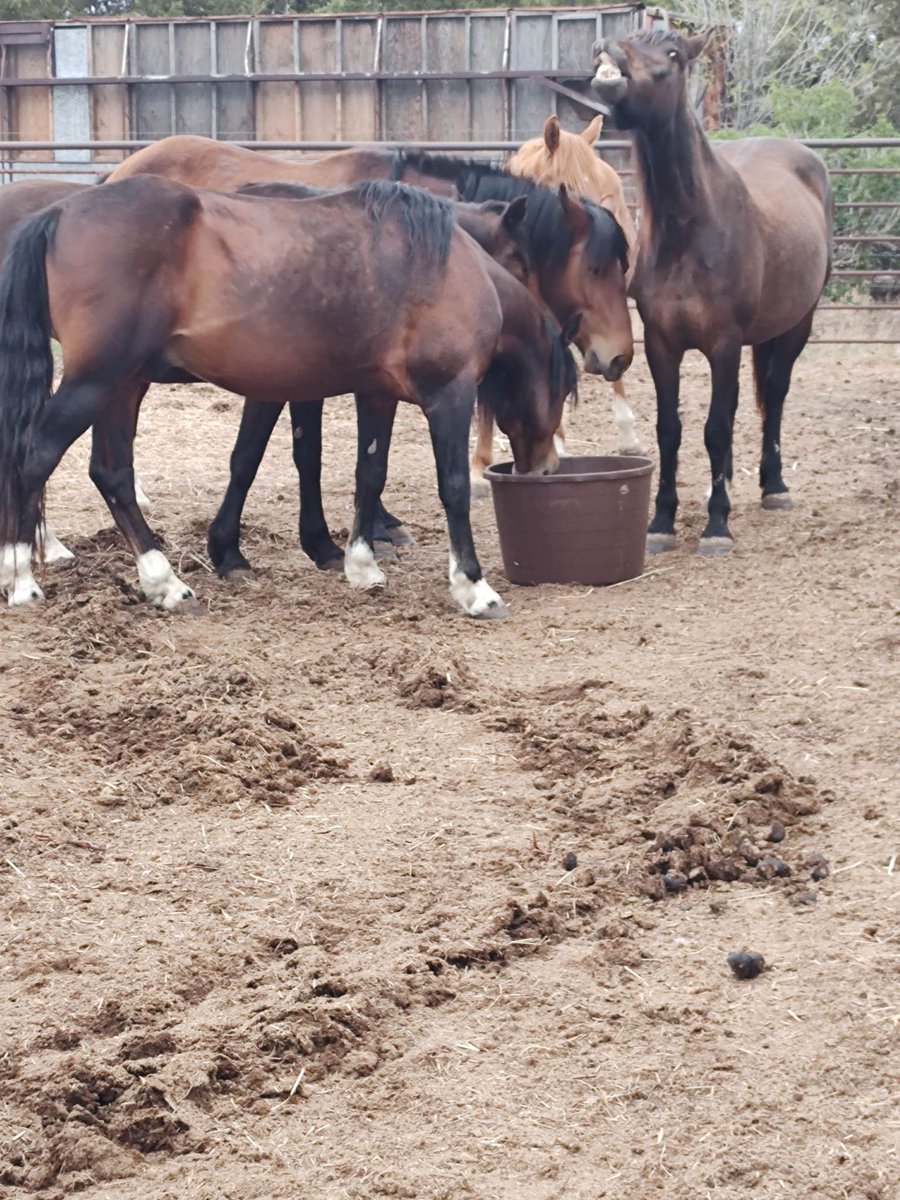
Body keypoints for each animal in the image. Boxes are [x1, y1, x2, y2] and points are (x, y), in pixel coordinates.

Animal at [0, 178, 575, 616]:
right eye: (564, 393)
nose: (548, 470)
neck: (450, 268)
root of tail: (58, 214)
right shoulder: (448, 396)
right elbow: (453, 487)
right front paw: (472, 587)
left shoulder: (375, 395)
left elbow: (370, 473)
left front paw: (361, 564)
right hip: (98, 381)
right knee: (35, 458)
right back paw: (22, 578)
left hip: (121, 384)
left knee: (111, 473)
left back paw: (163, 582)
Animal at [592, 29, 832, 554]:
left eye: (673, 54)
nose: (609, 55)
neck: (689, 230)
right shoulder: (661, 344)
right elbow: (670, 430)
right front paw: (661, 522)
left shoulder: (723, 343)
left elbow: (717, 428)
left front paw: (717, 526)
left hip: (797, 324)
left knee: (774, 397)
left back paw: (773, 486)